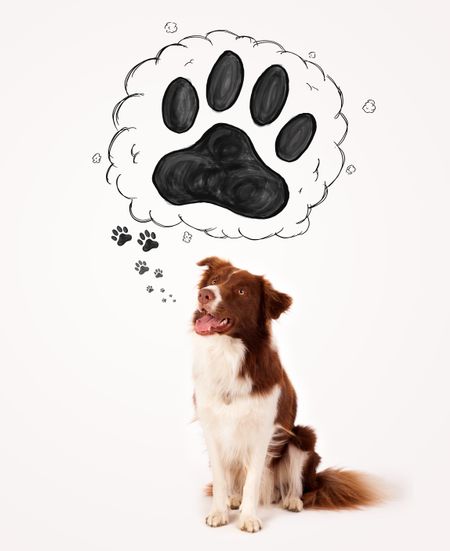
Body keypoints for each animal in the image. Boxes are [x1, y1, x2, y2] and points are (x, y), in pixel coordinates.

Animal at [192, 258, 382, 536]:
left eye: (241, 291)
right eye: (214, 280)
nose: (204, 294)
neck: (229, 354)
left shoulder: (263, 430)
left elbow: (252, 480)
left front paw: (249, 518)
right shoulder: (212, 428)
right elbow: (220, 478)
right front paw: (219, 512)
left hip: (302, 437)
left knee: (295, 483)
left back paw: (292, 500)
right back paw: (234, 499)